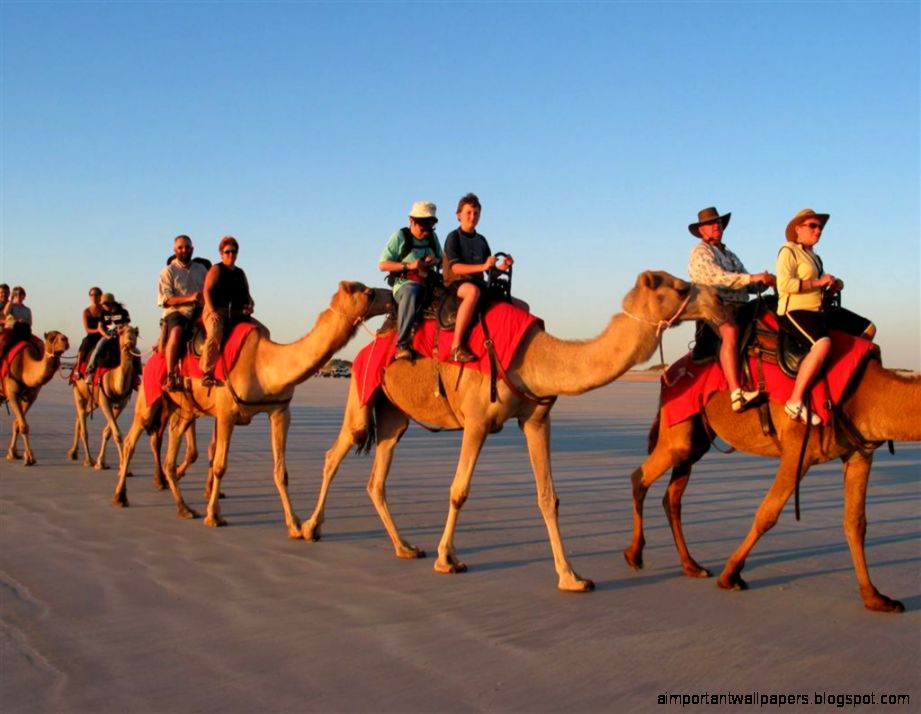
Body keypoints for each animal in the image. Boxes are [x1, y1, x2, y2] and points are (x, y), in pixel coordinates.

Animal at [2, 331, 70, 465]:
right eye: (51, 338)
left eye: (63, 336)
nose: (65, 340)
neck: (24, 367)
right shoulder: (12, 393)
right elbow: (23, 426)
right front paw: (29, 458)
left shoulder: (31, 397)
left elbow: (18, 424)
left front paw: (13, 453)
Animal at [67, 325, 139, 470]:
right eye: (122, 332)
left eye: (135, 333)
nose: (130, 341)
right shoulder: (104, 400)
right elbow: (117, 433)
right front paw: (119, 467)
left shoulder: (121, 403)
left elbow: (108, 432)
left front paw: (103, 462)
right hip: (78, 391)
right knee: (83, 423)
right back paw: (88, 460)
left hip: (94, 401)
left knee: (80, 417)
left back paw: (73, 452)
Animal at [112, 281, 393, 538]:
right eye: (368, 292)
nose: (391, 296)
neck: (264, 363)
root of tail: (153, 355)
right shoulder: (226, 413)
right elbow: (220, 465)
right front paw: (214, 516)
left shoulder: (280, 412)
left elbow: (281, 472)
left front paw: (295, 526)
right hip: (149, 398)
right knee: (130, 441)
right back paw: (120, 497)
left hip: (185, 409)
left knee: (171, 453)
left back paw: (184, 508)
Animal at [302, 271, 725, 592]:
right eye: (681, 288)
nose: (719, 300)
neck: (535, 357)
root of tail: (367, 349)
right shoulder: (476, 421)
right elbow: (459, 490)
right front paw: (447, 559)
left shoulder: (536, 420)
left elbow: (548, 497)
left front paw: (571, 577)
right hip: (361, 393)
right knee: (335, 453)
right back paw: (308, 528)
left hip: (394, 415)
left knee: (377, 476)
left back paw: (405, 547)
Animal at [623, 357, 921, 612]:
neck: (869, 396)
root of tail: (668, 374)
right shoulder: (798, 450)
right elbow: (767, 514)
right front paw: (730, 576)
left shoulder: (859, 454)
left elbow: (855, 523)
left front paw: (875, 597)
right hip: (678, 432)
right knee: (640, 476)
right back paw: (635, 555)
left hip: (697, 438)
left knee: (672, 495)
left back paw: (691, 565)